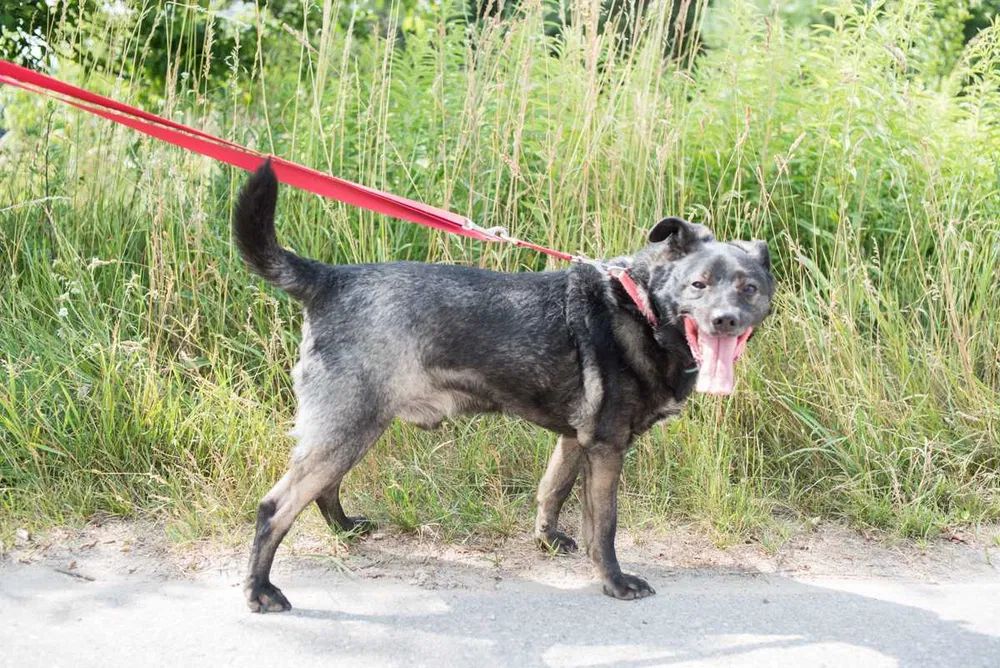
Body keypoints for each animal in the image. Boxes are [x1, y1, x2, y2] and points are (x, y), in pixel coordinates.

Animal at [235, 161, 774, 611]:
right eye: (698, 285)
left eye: (748, 287)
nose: (725, 320)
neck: (640, 305)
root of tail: (330, 279)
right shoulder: (606, 447)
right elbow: (604, 526)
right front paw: (614, 581)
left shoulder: (575, 439)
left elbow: (552, 490)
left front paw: (546, 540)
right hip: (349, 424)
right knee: (275, 508)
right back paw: (260, 590)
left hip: (353, 426)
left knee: (323, 487)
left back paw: (344, 529)